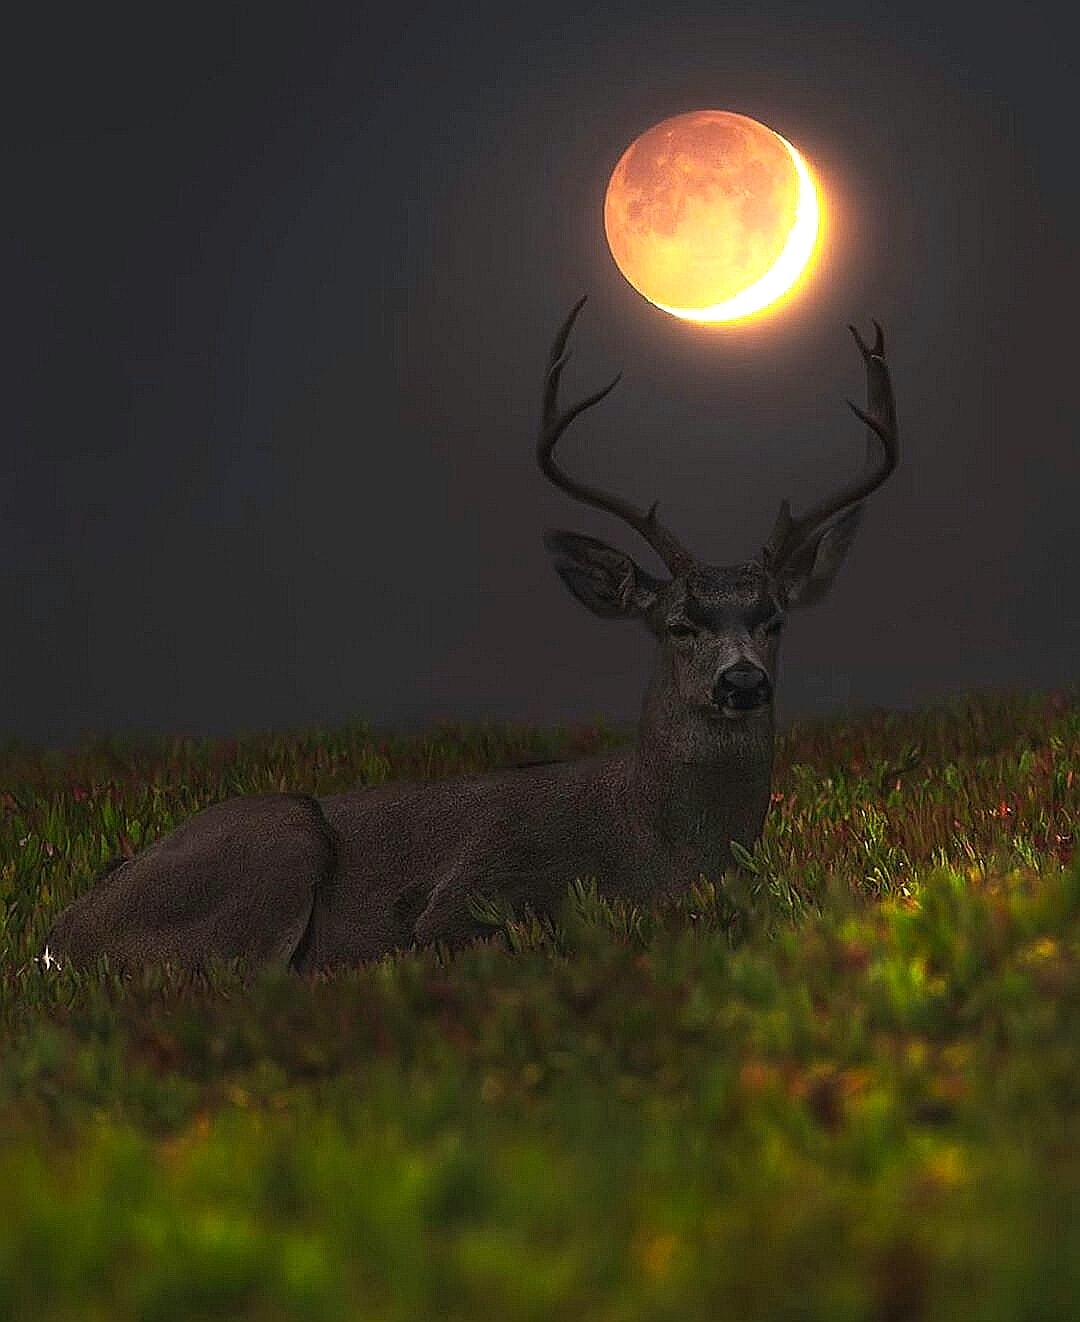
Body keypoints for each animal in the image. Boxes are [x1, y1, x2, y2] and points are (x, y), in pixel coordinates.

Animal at [40, 297, 898, 976]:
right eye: (678, 623)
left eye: (774, 620)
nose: (743, 681)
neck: (663, 850)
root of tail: (59, 934)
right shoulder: (471, 891)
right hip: (277, 844)